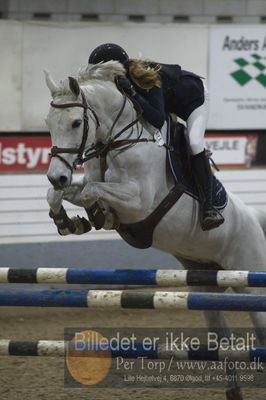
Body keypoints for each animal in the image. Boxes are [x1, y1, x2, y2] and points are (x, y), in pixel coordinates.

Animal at [45, 61, 266, 398]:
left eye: (74, 122)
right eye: (48, 123)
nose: (55, 175)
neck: (116, 141)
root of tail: (252, 215)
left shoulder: (138, 202)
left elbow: (91, 192)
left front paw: (99, 215)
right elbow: (63, 193)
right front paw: (70, 221)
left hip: (248, 280)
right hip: (205, 284)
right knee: (223, 339)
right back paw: (233, 390)